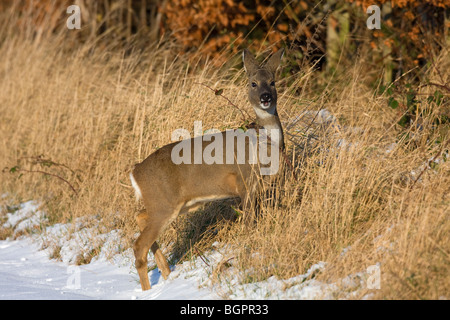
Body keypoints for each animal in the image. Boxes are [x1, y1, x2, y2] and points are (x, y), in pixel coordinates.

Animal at [130, 48, 284, 292]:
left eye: (272, 81)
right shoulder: (245, 181)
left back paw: (166, 272)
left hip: (168, 204)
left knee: (140, 217)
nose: (265, 97)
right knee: (138, 245)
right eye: (253, 83)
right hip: (163, 203)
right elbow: (249, 223)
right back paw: (149, 289)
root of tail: (135, 172)